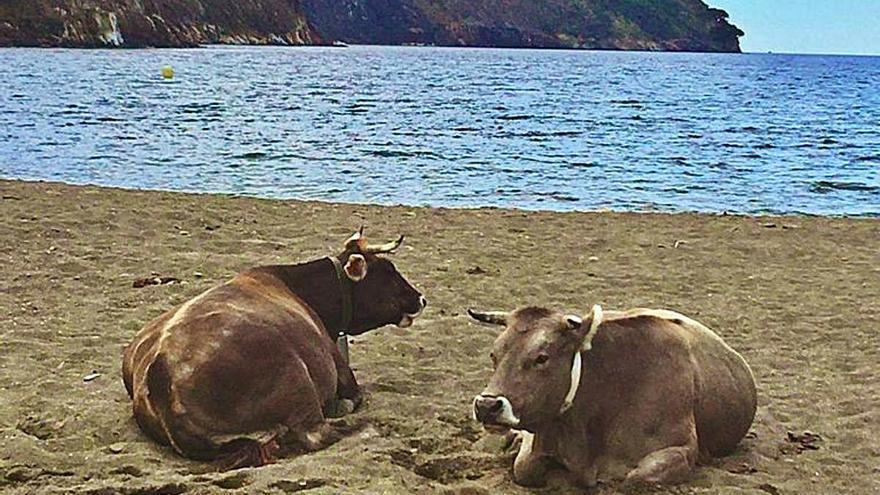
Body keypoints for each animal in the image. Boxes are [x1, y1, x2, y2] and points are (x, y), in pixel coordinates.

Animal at [122, 229, 424, 468]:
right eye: (387, 271)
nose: (421, 298)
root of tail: (161, 369)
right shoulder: (342, 371)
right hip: (297, 380)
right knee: (317, 433)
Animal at [470, 306, 752, 488]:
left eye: (542, 357)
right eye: (494, 355)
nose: (487, 406)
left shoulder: (681, 448)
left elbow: (633, 479)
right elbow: (525, 468)